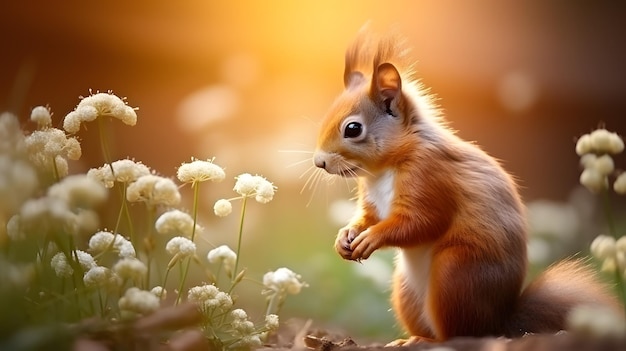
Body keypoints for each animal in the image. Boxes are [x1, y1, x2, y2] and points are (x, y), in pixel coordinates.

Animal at [312, 28, 620, 346]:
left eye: (353, 129)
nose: (319, 162)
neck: (385, 169)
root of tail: (499, 322)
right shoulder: (372, 199)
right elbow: (368, 217)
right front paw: (346, 236)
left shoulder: (430, 177)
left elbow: (420, 222)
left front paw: (371, 238)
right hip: (405, 288)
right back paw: (408, 339)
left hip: (455, 274)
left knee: (459, 334)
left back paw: (427, 342)